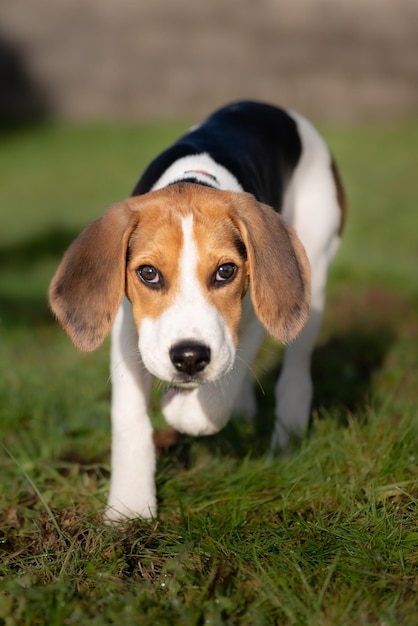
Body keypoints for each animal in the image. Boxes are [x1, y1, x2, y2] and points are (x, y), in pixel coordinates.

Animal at [49, 101, 346, 520]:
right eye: (148, 273)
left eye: (225, 272)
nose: (189, 358)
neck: (194, 179)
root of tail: (271, 107)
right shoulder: (128, 329)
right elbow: (129, 419)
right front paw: (129, 508)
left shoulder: (247, 323)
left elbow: (217, 394)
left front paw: (182, 408)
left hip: (313, 273)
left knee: (296, 372)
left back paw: (286, 436)